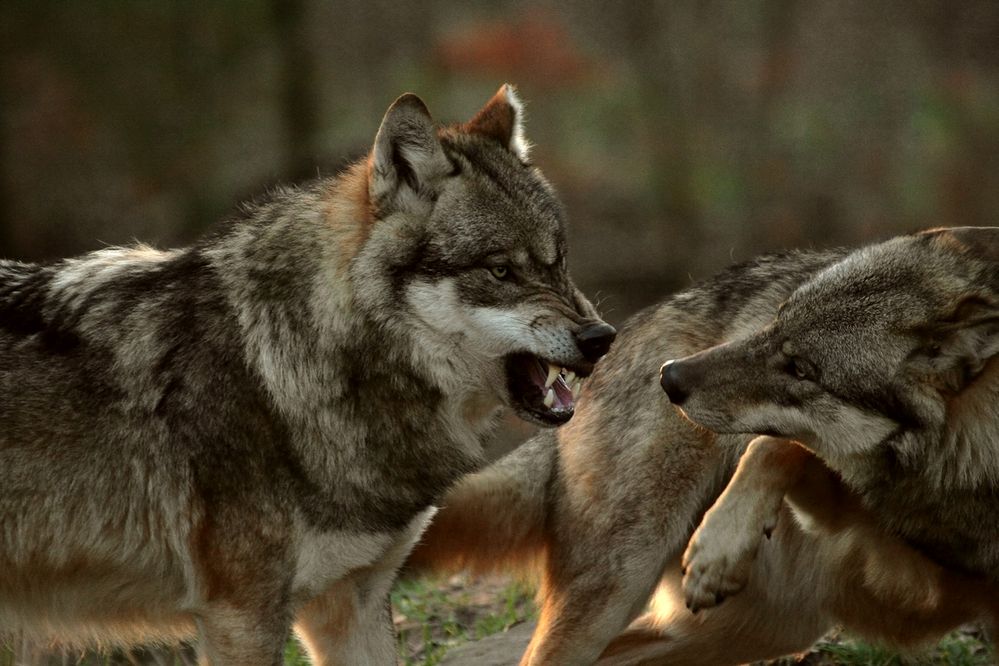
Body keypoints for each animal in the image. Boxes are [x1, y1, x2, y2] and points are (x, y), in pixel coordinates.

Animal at [406, 227, 999, 660]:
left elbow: (786, 448)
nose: (670, 379)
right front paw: (719, 546)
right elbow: (775, 446)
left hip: (751, 633)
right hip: (625, 593)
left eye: (802, 370)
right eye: (774, 323)